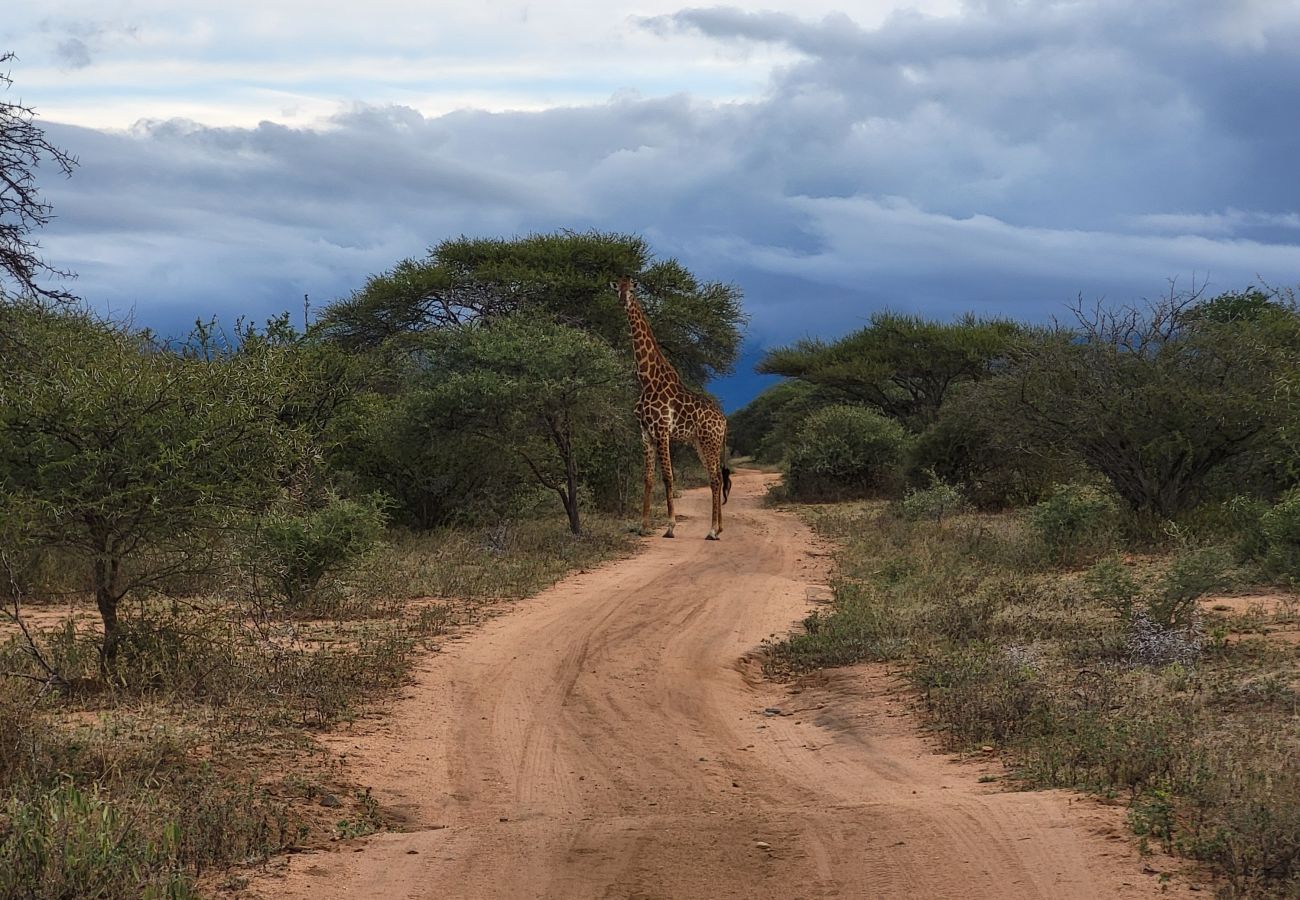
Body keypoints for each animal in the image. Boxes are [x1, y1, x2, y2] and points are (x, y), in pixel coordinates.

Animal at [613, 274, 728, 538]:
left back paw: (711, 530)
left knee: (716, 479)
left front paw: (670, 526)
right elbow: (647, 478)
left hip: (709, 441)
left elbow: (667, 477)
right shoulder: (645, 432)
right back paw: (719, 527)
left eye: (631, 290)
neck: (647, 379)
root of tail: (724, 421)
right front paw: (643, 526)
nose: (623, 302)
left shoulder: (663, 430)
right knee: (716, 476)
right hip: (701, 442)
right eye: (618, 290)